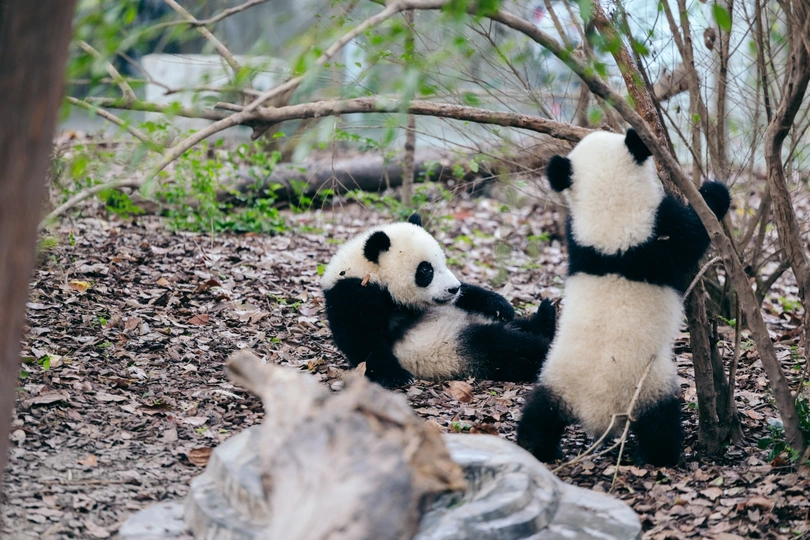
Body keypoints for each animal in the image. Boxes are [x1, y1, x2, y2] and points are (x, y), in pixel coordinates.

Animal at [321, 214, 557, 389]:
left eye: (443, 262)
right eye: (426, 270)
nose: (453, 288)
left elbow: (469, 296)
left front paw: (500, 305)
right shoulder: (353, 294)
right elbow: (363, 338)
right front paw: (396, 375)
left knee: (519, 328)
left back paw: (546, 315)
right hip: (455, 345)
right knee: (505, 348)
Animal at [516, 129, 731, 467]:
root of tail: (597, 411)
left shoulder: (578, 241)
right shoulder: (656, 236)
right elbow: (691, 236)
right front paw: (714, 194)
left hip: (555, 376)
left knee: (539, 414)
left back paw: (536, 447)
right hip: (648, 385)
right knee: (661, 422)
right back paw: (658, 456)